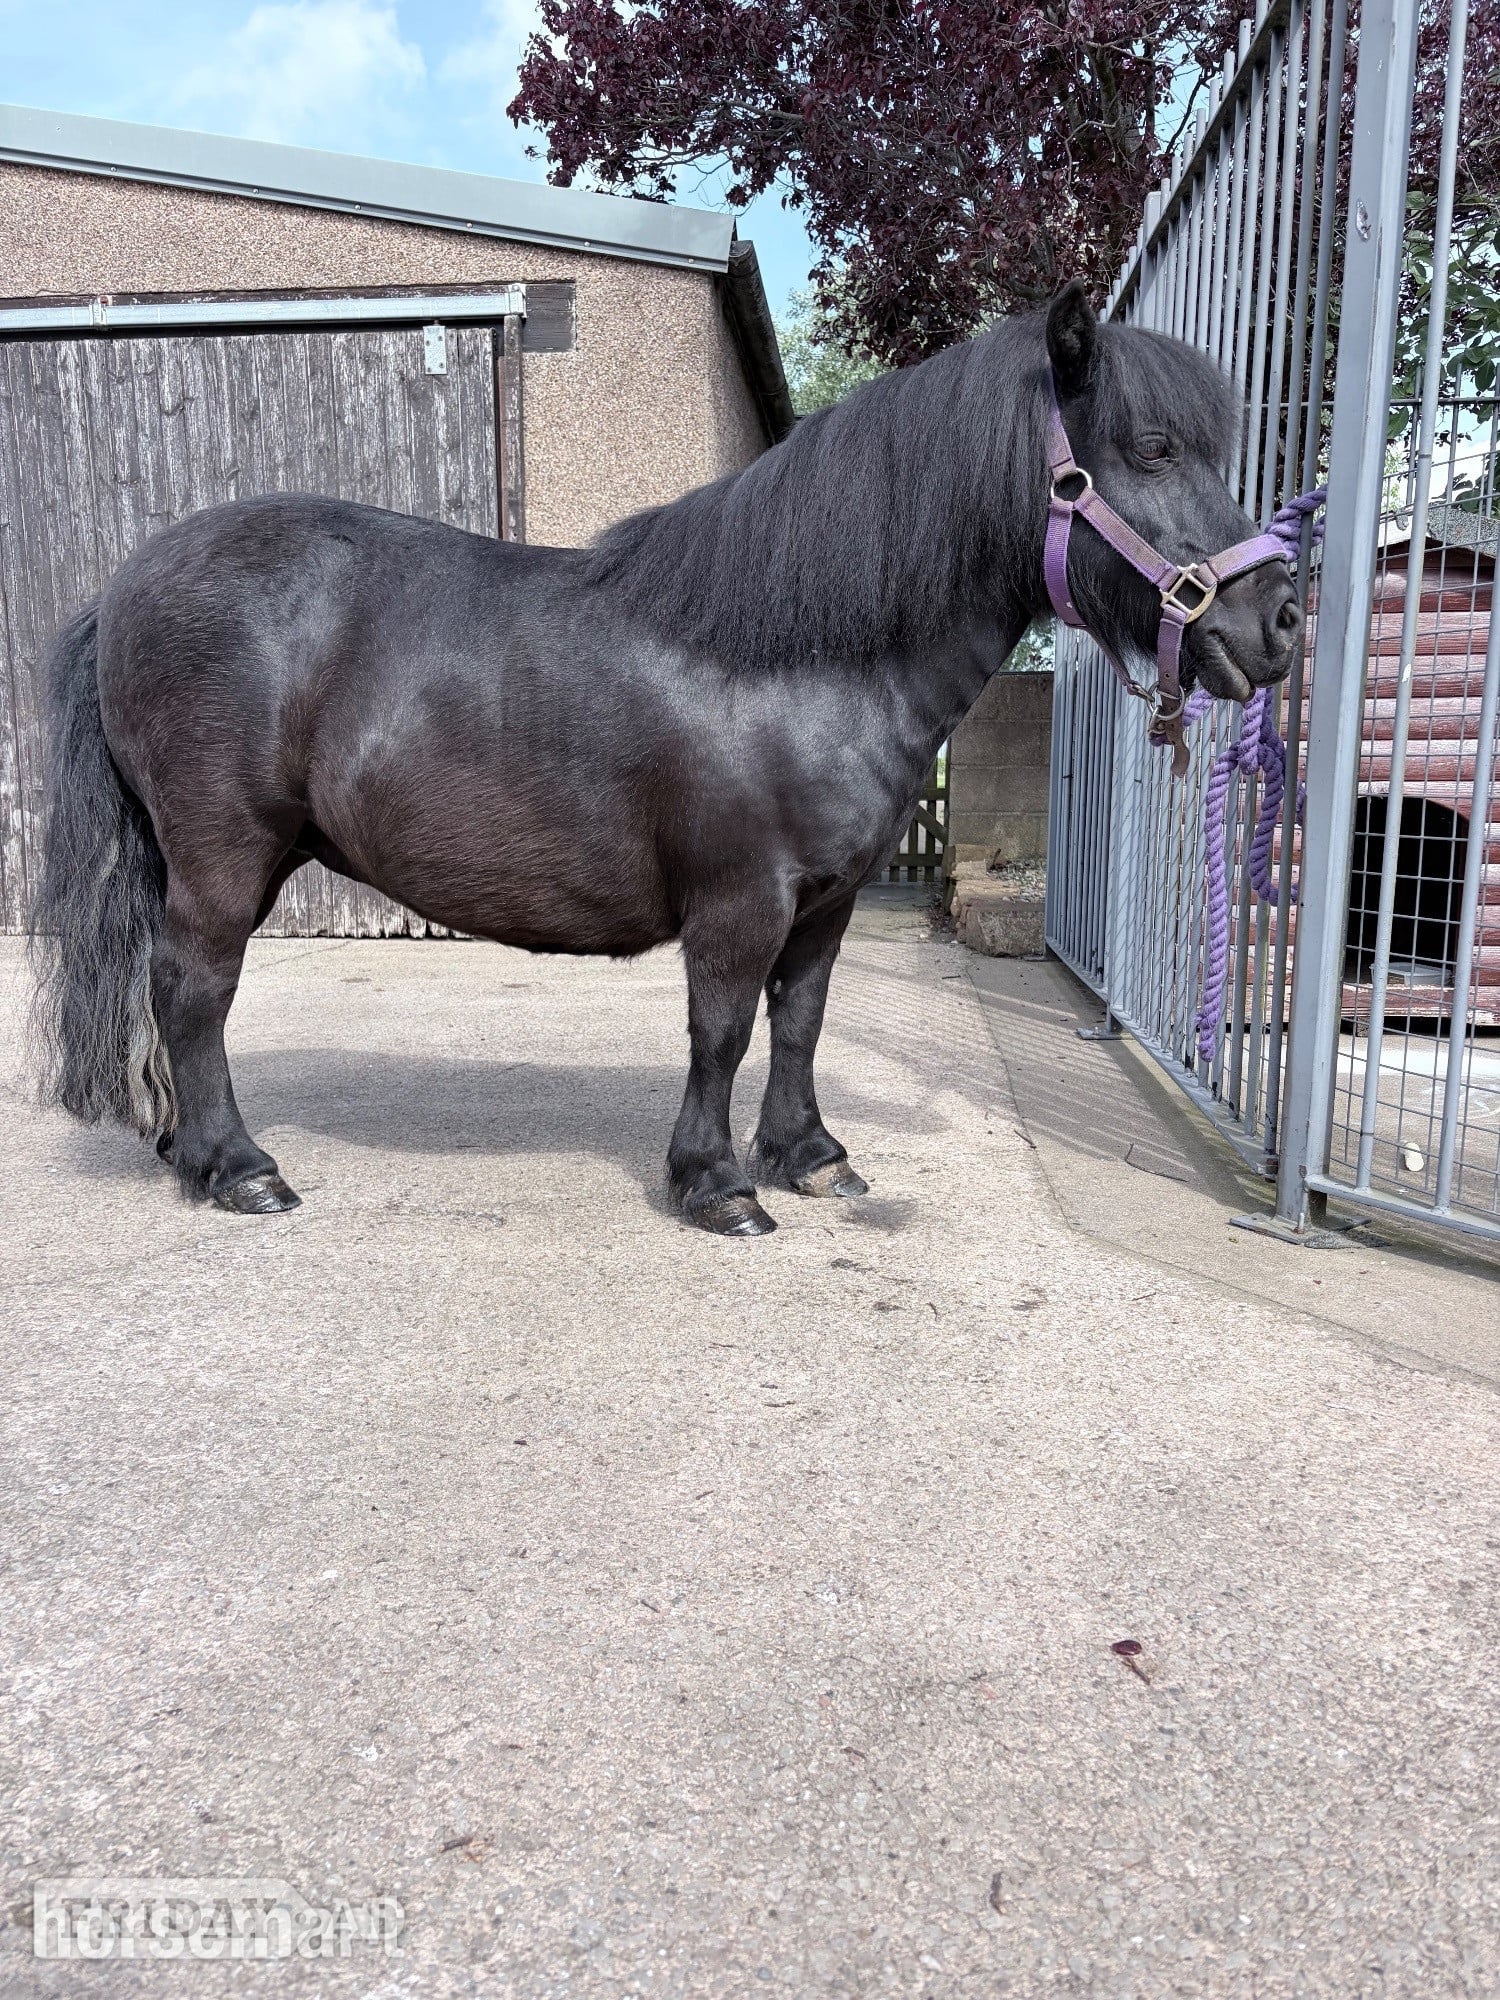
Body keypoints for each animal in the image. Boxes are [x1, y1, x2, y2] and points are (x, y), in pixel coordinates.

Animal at [28, 281, 1302, 1236]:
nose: (1279, 622)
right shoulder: (741, 898)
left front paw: (809, 1153)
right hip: (224, 854)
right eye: (1150, 447)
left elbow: (801, 1020)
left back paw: (187, 1150)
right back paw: (240, 1165)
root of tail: (124, 584)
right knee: (193, 989)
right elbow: (722, 1028)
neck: (797, 653)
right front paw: (719, 1182)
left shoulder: (828, 901)